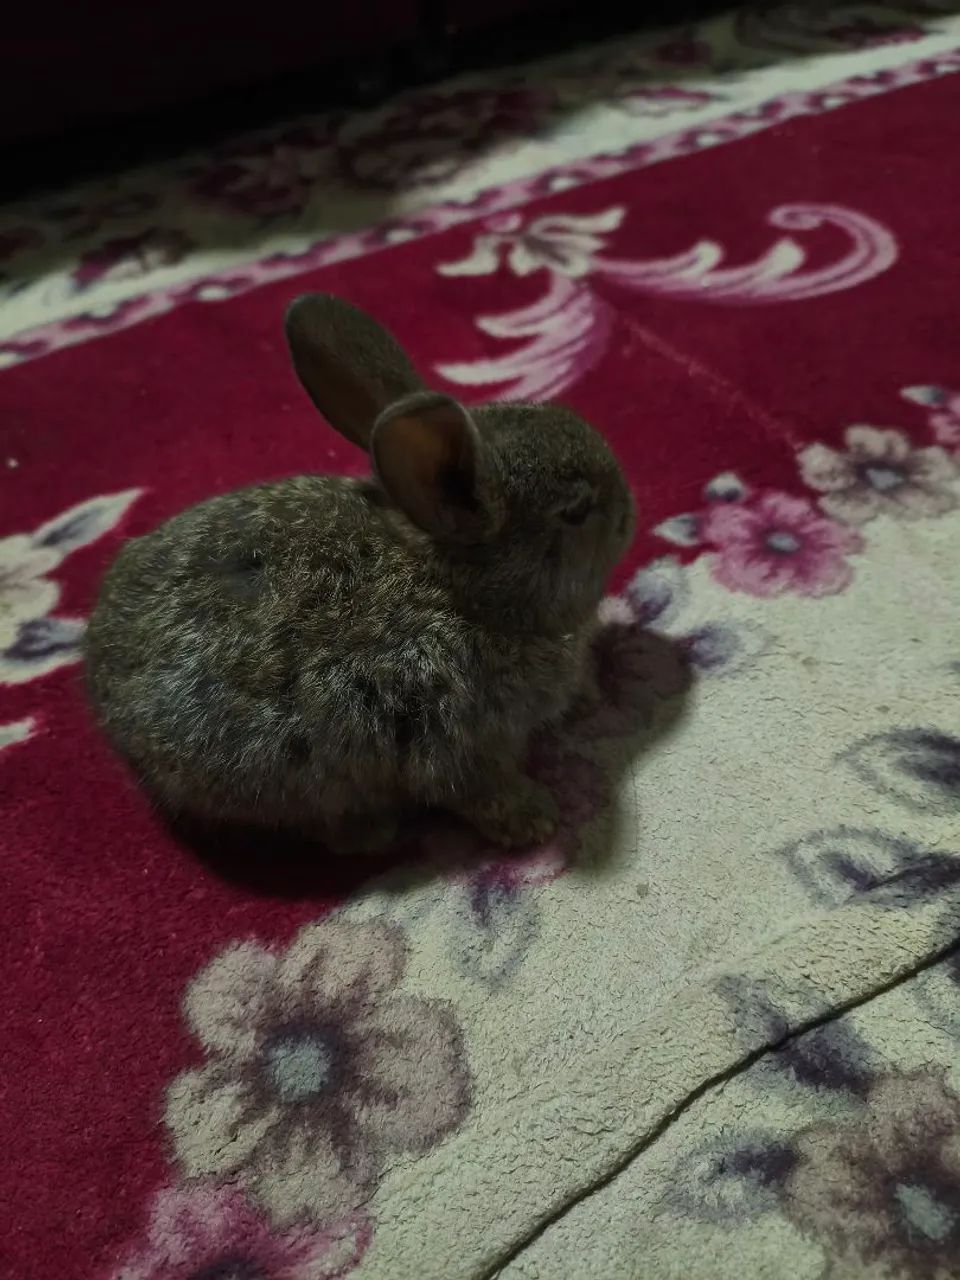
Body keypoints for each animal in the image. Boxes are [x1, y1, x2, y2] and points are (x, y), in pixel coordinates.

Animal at [84, 293, 635, 854]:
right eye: (576, 511)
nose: (628, 509)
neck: (464, 591)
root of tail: (102, 689)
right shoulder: (454, 736)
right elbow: (477, 789)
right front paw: (535, 819)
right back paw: (375, 832)